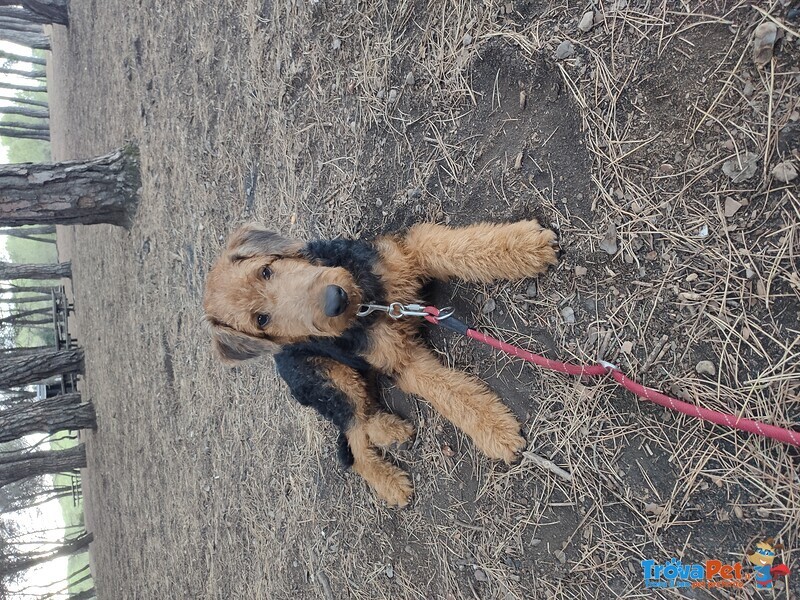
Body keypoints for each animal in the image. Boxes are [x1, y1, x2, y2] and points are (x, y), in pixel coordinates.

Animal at [203, 220, 560, 506]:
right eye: (261, 319)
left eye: (266, 270)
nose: (335, 299)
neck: (368, 306)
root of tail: (281, 361)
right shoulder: (404, 363)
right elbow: (449, 394)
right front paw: (499, 433)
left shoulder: (406, 253)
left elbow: (453, 247)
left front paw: (529, 246)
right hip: (335, 381)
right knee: (355, 445)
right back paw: (392, 485)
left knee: (363, 423)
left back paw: (393, 430)